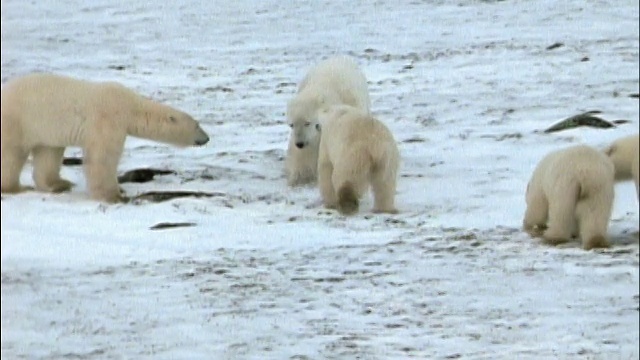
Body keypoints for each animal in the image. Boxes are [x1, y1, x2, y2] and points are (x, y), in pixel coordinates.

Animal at [0, 72, 210, 204]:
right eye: (197, 125)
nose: (206, 139)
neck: (130, 107)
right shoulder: (108, 118)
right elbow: (103, 156)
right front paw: (114, 195)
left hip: (45, 125)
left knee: (49, 152)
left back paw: (59, 184)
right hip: (16, 121)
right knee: (11, 154)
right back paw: (15, 188)